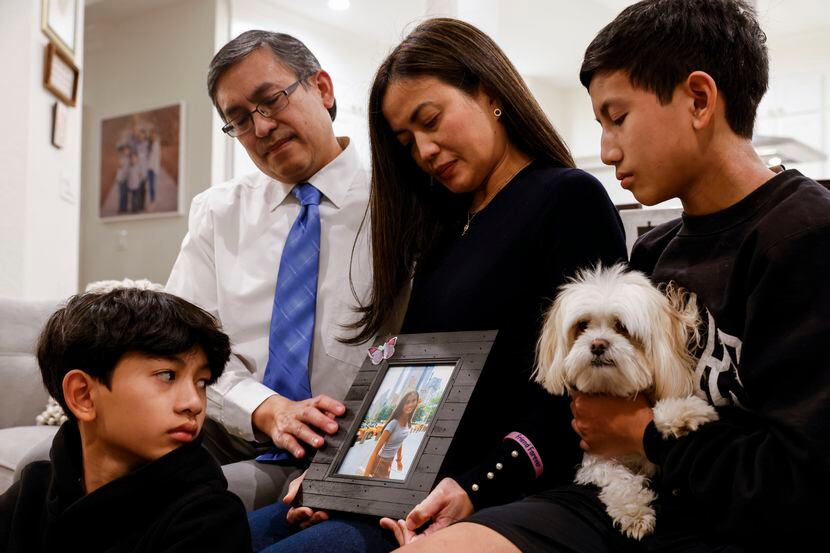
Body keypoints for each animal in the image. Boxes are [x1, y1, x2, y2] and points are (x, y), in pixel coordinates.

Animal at [536, 264, 720, 540]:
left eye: (621, 326)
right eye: (582, 325)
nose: (597, 344)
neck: (615, 392)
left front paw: (683, 412)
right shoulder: (595, 460)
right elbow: (619, 480)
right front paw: (634, 511)